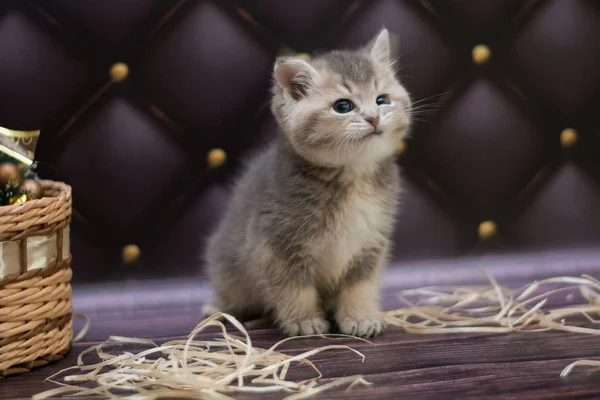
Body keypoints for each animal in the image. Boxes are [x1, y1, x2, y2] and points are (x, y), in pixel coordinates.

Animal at [204, 28, 410, 338]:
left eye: (382, 100)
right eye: (343, 106)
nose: (373, 118)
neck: (352, 175)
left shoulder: (370, 243)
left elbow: (360, 286)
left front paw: (360, 316)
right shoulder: (276, 244)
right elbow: (294, 287)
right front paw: (304, 320)